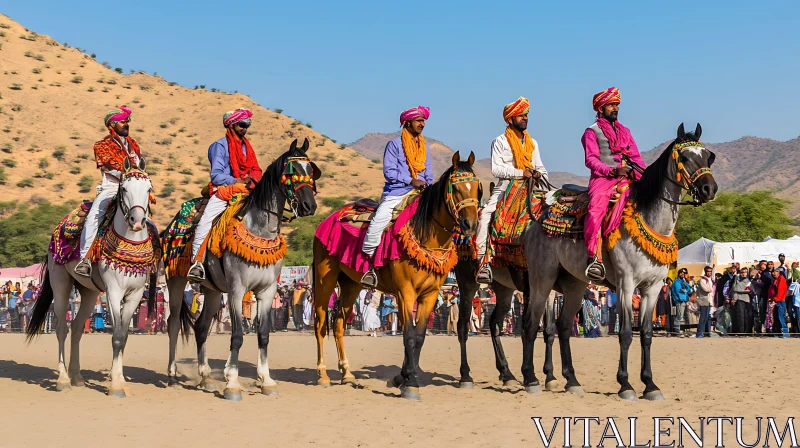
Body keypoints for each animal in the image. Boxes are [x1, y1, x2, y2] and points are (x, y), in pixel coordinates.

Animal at [27, 159, 158, 398]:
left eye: (148, 189)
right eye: (124, 188)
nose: (137, 221)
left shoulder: (134, 295)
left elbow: (124, 336)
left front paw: (121, 381)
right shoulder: (114, 291)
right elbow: (116, 337)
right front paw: (115, 387)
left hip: (89, 292)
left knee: (77, 328)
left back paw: (77, 377)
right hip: (61, 285)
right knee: (62, 328)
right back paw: (63, 380)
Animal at [162, 137, 318, 402]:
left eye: (311, 170)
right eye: (292, 170)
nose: (309, 205)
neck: (259, 229)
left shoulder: (266, 291)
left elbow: (263, 334)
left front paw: (266, 381)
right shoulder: (237, 290)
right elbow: (237, 336)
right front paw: (232, 383)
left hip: (212, 291)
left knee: (201, 328)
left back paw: (206, 378)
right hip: (176, 282)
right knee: (173, 325)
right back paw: (172, 376)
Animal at [312, 152, 478, 400]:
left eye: (477, 188)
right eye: (456, 188)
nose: (470, 224)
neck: (425, 234)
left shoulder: (429, 295)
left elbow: (419, 337)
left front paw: (404, 378)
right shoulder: (404, 293)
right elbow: (407, 335)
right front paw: (410, 384)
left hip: (351, 284)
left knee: (339, 323)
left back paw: (347, 374)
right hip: (325, 280)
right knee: (321, 324)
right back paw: (322, 375)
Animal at [520, 122, 716, 400]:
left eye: (708, 156)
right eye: (686, 157)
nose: (710, 189)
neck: (651, 221)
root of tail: (536, 220)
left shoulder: (653, 288)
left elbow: (646, 334)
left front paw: (650, 385)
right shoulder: (626, 284)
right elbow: (624, 333)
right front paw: (626, 384)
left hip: (574, 285)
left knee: (564, 326)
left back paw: (572, 381)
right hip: (542, 280)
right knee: (530, 324)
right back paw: (531, 379)